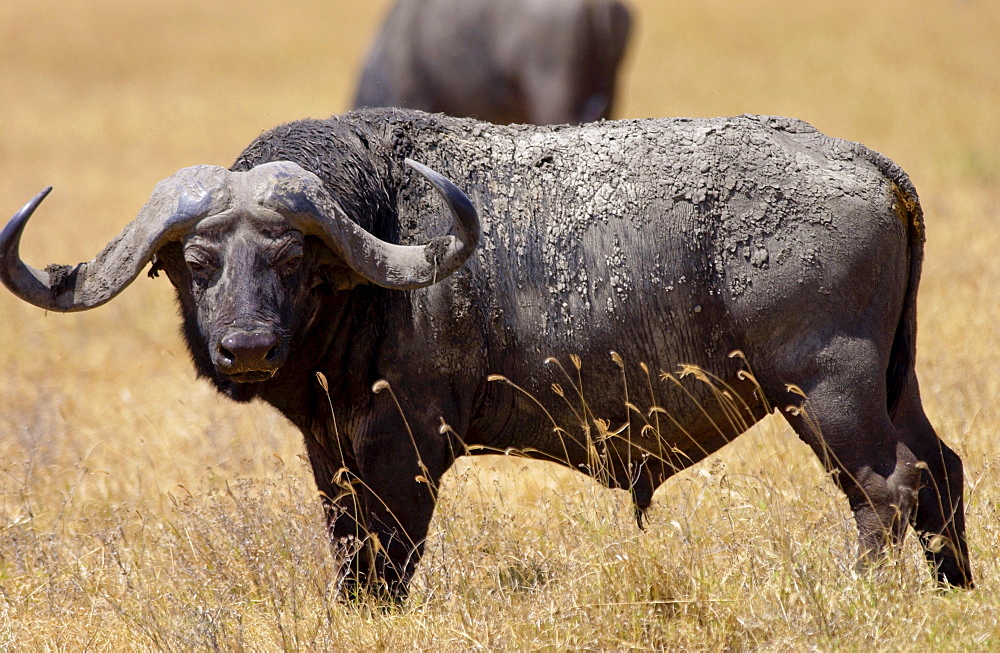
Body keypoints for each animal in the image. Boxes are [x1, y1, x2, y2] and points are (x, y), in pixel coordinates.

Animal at [0, 108, 968, 600]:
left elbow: (389, 557)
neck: (380, 251)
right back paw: (954, 590)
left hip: (828, 391)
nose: (245, 347)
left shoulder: (406, 450)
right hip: (895, 383)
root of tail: (869, 164)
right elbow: (348, 549)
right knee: (941, 470)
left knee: (887, 488)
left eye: (292, 258)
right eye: (196, 262)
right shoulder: (330, 452)